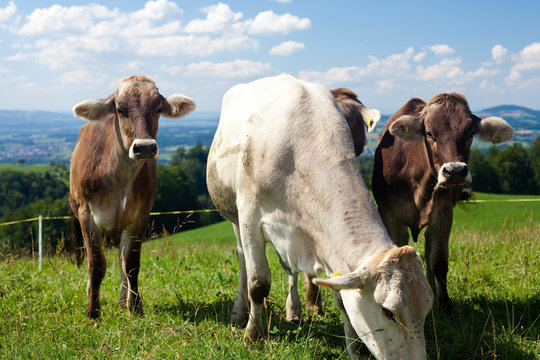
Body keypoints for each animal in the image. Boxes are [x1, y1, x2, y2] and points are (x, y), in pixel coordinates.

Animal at [69, 74, 195, 318]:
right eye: (120, 109)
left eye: (157, 108)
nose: (144, 147)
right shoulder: (86, 214)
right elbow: (96, 263)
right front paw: (93, 311)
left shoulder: (140, 215)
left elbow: (131, 264)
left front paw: (135, 307)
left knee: (121, 261)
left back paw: (122, 301)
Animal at [207, 74, 434, 360]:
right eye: (387, 311)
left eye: (426, 310)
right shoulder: (249, 217)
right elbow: (258, 282)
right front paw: (253, 335)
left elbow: (340, 297)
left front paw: (355, 348)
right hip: (234, 217)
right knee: (242, 263)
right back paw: (239, 312)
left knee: (289, 269)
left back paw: (293, 309)